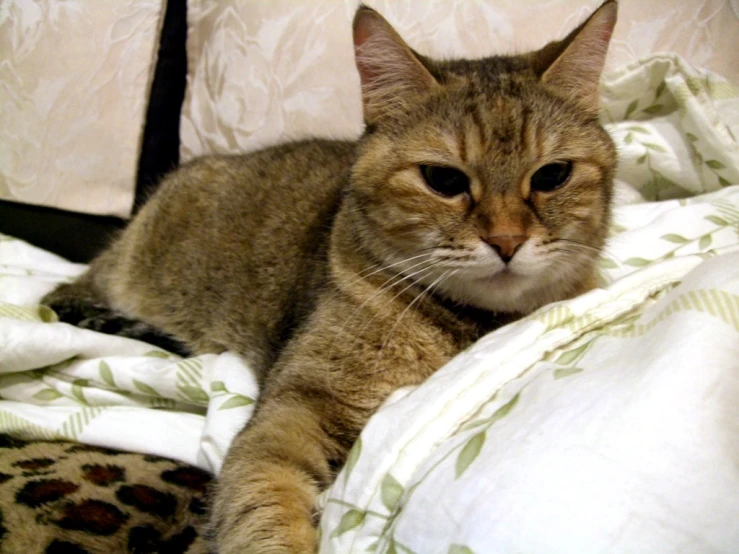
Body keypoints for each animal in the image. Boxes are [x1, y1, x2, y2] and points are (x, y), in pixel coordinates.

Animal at [42, 2, 620, 548]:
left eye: (553, 175)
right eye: (443, 179)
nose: (506, 242)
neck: (472, 325)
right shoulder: (294, 412)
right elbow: (264, 502)